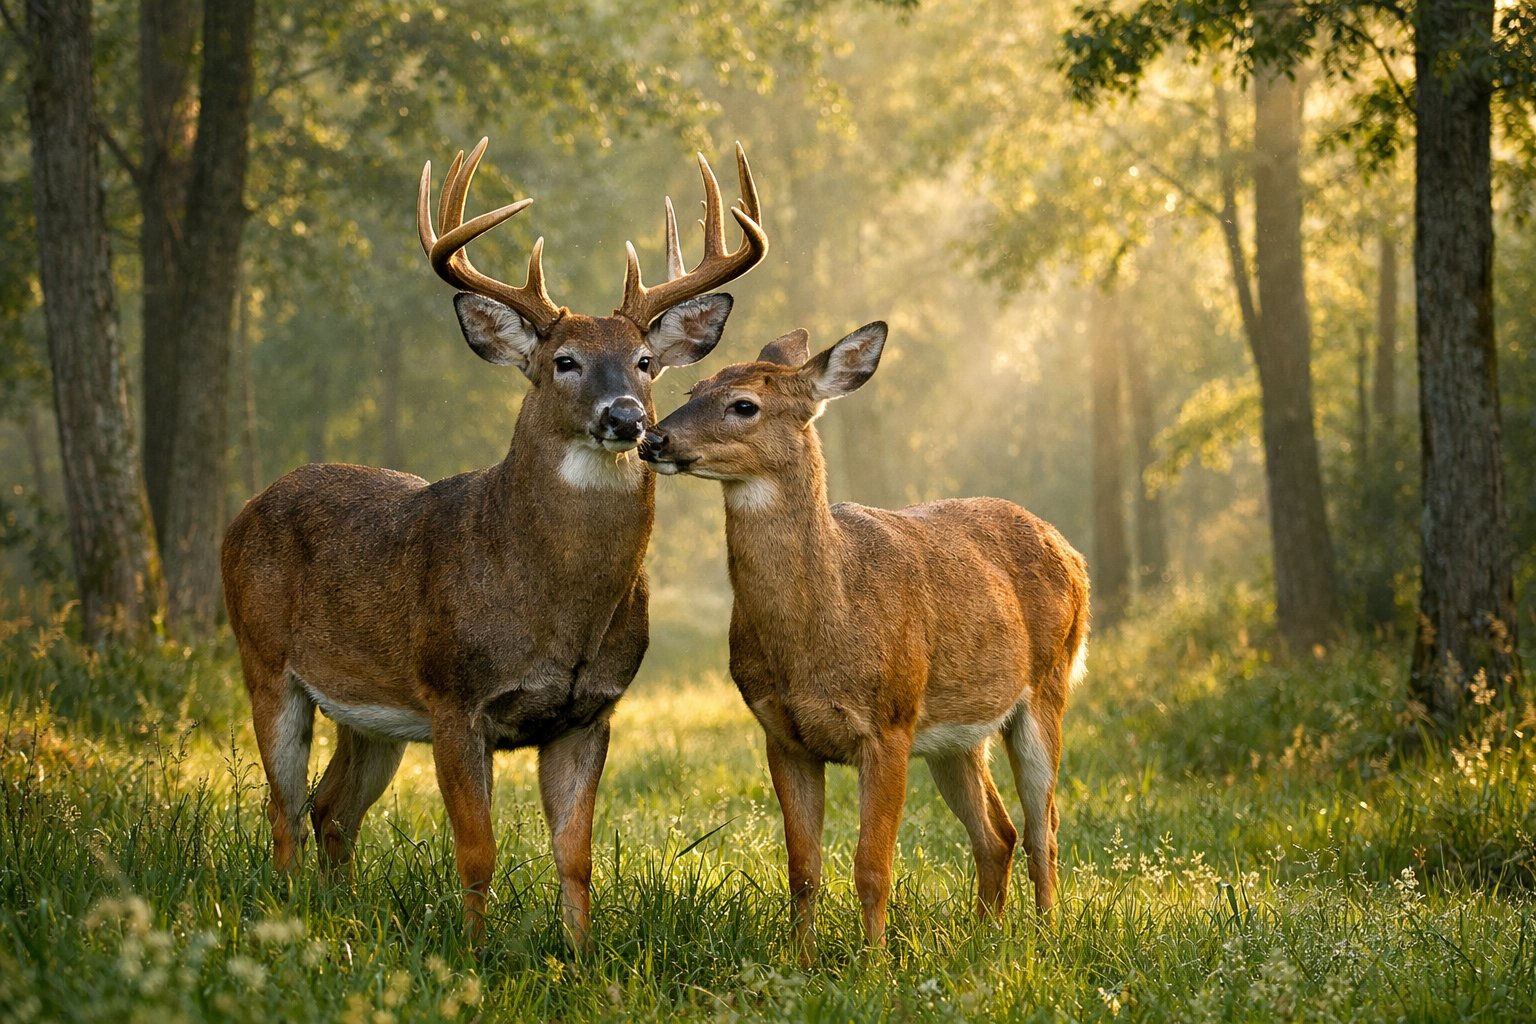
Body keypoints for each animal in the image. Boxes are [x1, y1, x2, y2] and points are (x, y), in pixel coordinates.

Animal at [220, 137, 767, 945]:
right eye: (564, 361)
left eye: (644, 361)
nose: (627, 417)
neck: (552, 605)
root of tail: (247, 509)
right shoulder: (455, 696)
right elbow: (477, 850)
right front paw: (475, 954)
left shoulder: (590, 711)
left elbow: (576, 857)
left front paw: (578, 956)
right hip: (265, 662)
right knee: (283, 809)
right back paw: (290, 917)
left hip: (371, 712)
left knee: (331, 808)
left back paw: (336, 912)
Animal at [640, 321, 1089, 957]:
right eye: (691, 389)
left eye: (744, 405)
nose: (652, 438)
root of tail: (1072, 552)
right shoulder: (783, 734)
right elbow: (803, 869)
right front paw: (800, 963)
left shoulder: (889, 725)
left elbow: (872, 867)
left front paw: (873, 962)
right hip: (956, 734)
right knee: (997, 832)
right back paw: (984, 937)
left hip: (1048, 684)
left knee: (1041, 829)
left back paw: (1045, 936)